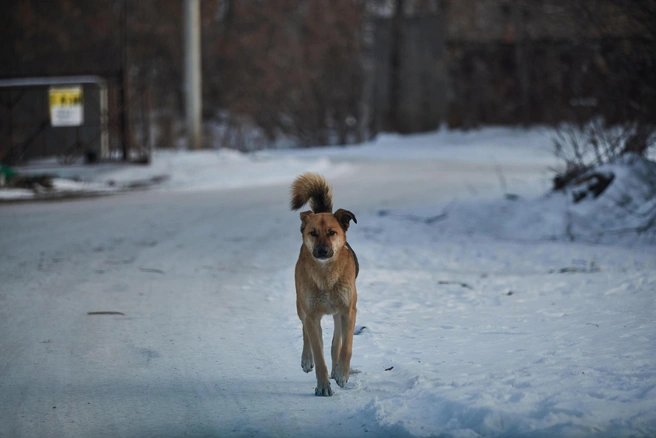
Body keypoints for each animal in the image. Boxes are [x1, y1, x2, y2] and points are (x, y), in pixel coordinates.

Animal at [290, 173, 358, 396]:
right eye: (313, 233)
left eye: (332, 232)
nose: (321, 251)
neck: (326, 276)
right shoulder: (312, 315)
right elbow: (318, 354)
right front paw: (322, 386)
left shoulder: (348, 311)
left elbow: (346, 346)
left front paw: (342, 373)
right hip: (301, 305)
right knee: (305, 331)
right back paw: (306, 359)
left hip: (337, 313)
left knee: (336, 340)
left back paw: (336, 368)